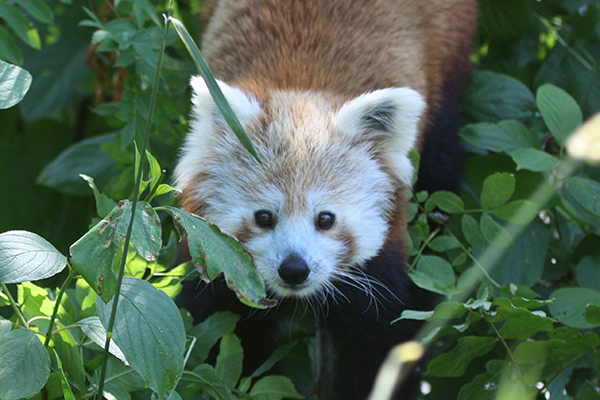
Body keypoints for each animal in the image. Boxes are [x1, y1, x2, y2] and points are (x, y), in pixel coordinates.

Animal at [175, 1, 478, 398]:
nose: (294, 269)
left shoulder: (379, 267)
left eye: (325, 219)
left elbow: (381, 346)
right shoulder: (214, 256)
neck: (302, 86)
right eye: (263, 217)